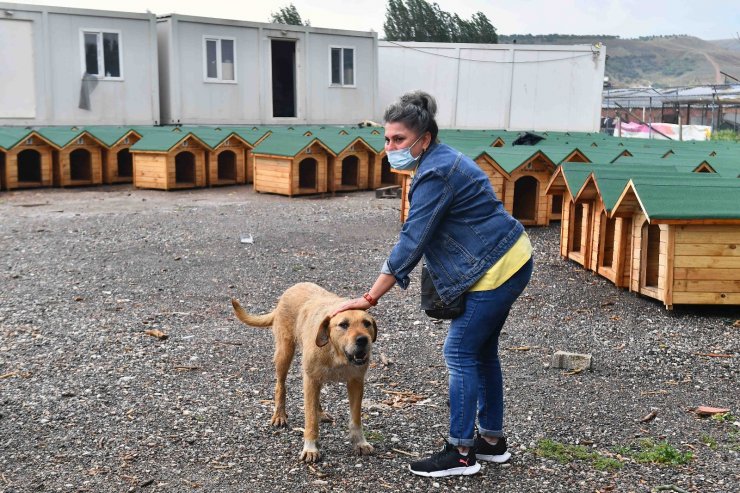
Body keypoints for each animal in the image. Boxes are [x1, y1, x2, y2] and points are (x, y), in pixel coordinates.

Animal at [230, 280, 376, 462]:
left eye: (367, 323)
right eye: (343, 325)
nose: (363, 340)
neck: (336, 353)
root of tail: (291, 289)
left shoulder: (355, 382)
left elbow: (355, 419)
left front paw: (360, 443)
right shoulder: (310, 379)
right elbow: (310, 420)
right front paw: (311, 448)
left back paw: (320, 412)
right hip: (284, 354)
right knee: (280, 385)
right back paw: (279, 414)